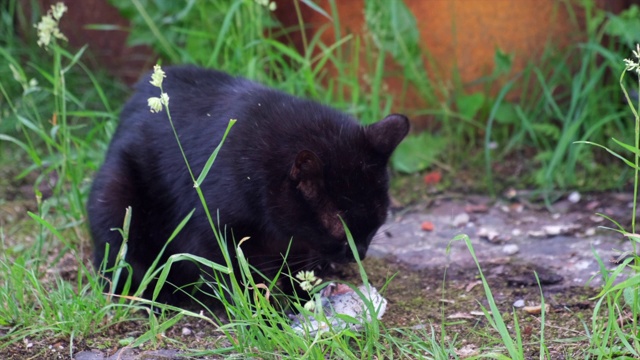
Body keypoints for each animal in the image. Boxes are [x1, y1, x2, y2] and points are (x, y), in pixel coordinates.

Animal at [86, 65, 410, 304]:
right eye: (337, 226)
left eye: (378, 222)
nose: (359, 252)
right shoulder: (211, 233)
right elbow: (234, 277)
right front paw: (260, 314)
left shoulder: (298, 242)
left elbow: (297, 269)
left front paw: (302, 299)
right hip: (115, 196)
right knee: (121, 266)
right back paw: (162, 297)